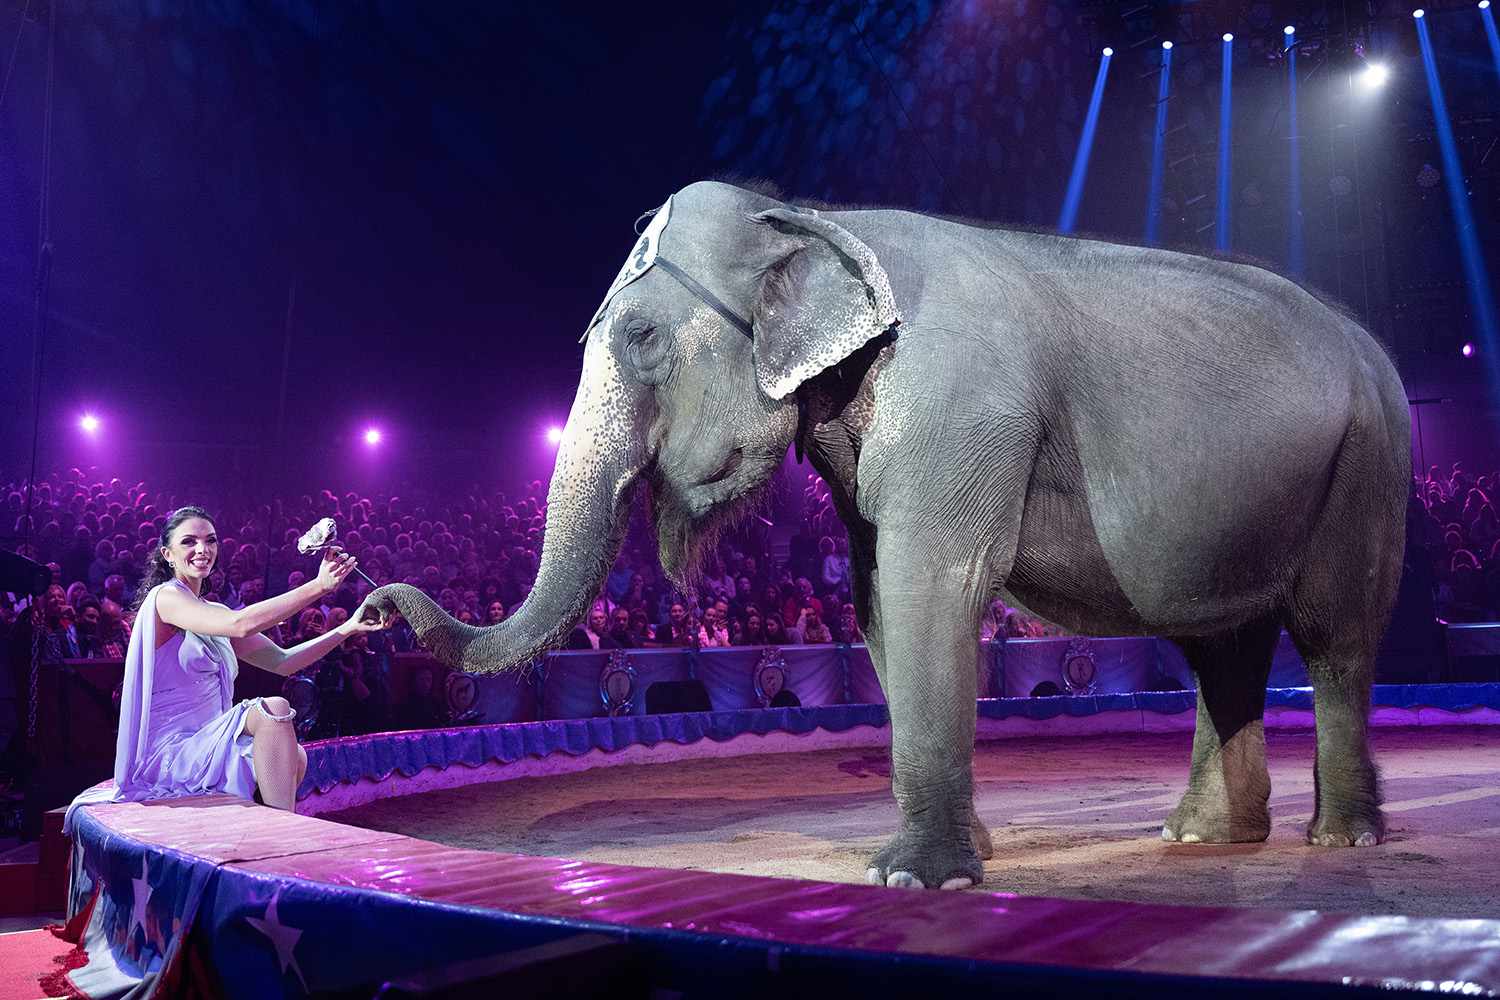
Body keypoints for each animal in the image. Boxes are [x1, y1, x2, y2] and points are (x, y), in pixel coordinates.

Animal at [357, 179, 1410, 893]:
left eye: (643, 338)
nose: (370, 597)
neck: (814, 217)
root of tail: (1373, 350)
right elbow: (873, 604)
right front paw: (958, 859)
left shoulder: (959, 404)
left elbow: (928, 582)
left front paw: (916, 880)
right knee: (1220, 649)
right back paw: (1198, 838)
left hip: (1366, 467)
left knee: (1333, 640)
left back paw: (1341, 839)